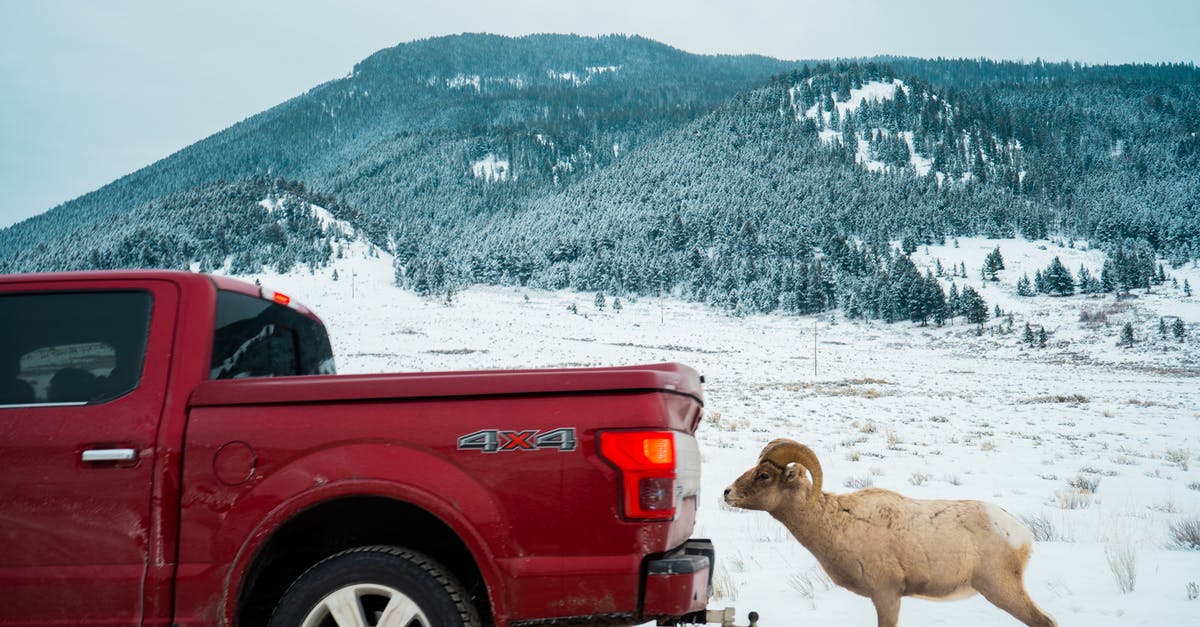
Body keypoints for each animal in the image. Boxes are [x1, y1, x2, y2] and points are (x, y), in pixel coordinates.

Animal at [723, 439, 1056, 627]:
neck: (838, 524)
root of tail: (1020, 533)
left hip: (1003, 591)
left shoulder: (886, 595)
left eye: (764, 475)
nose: (727, 493)